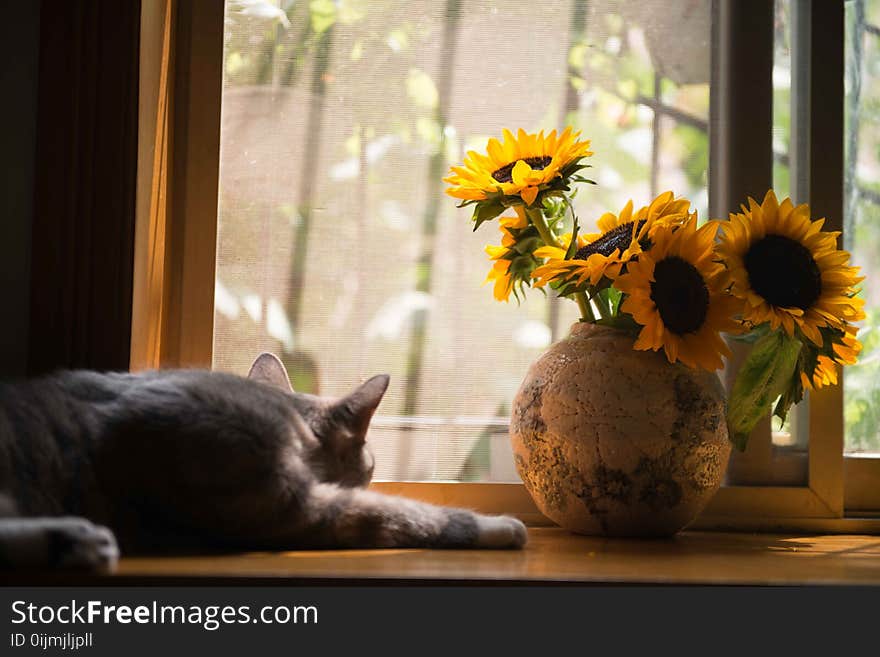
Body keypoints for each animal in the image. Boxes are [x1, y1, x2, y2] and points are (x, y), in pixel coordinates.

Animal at [0, 354, 524, 568]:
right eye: (371, 467)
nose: (370, 475)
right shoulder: (290, 506)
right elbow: (405, 514)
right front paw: (501, 525)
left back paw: (74, 541)